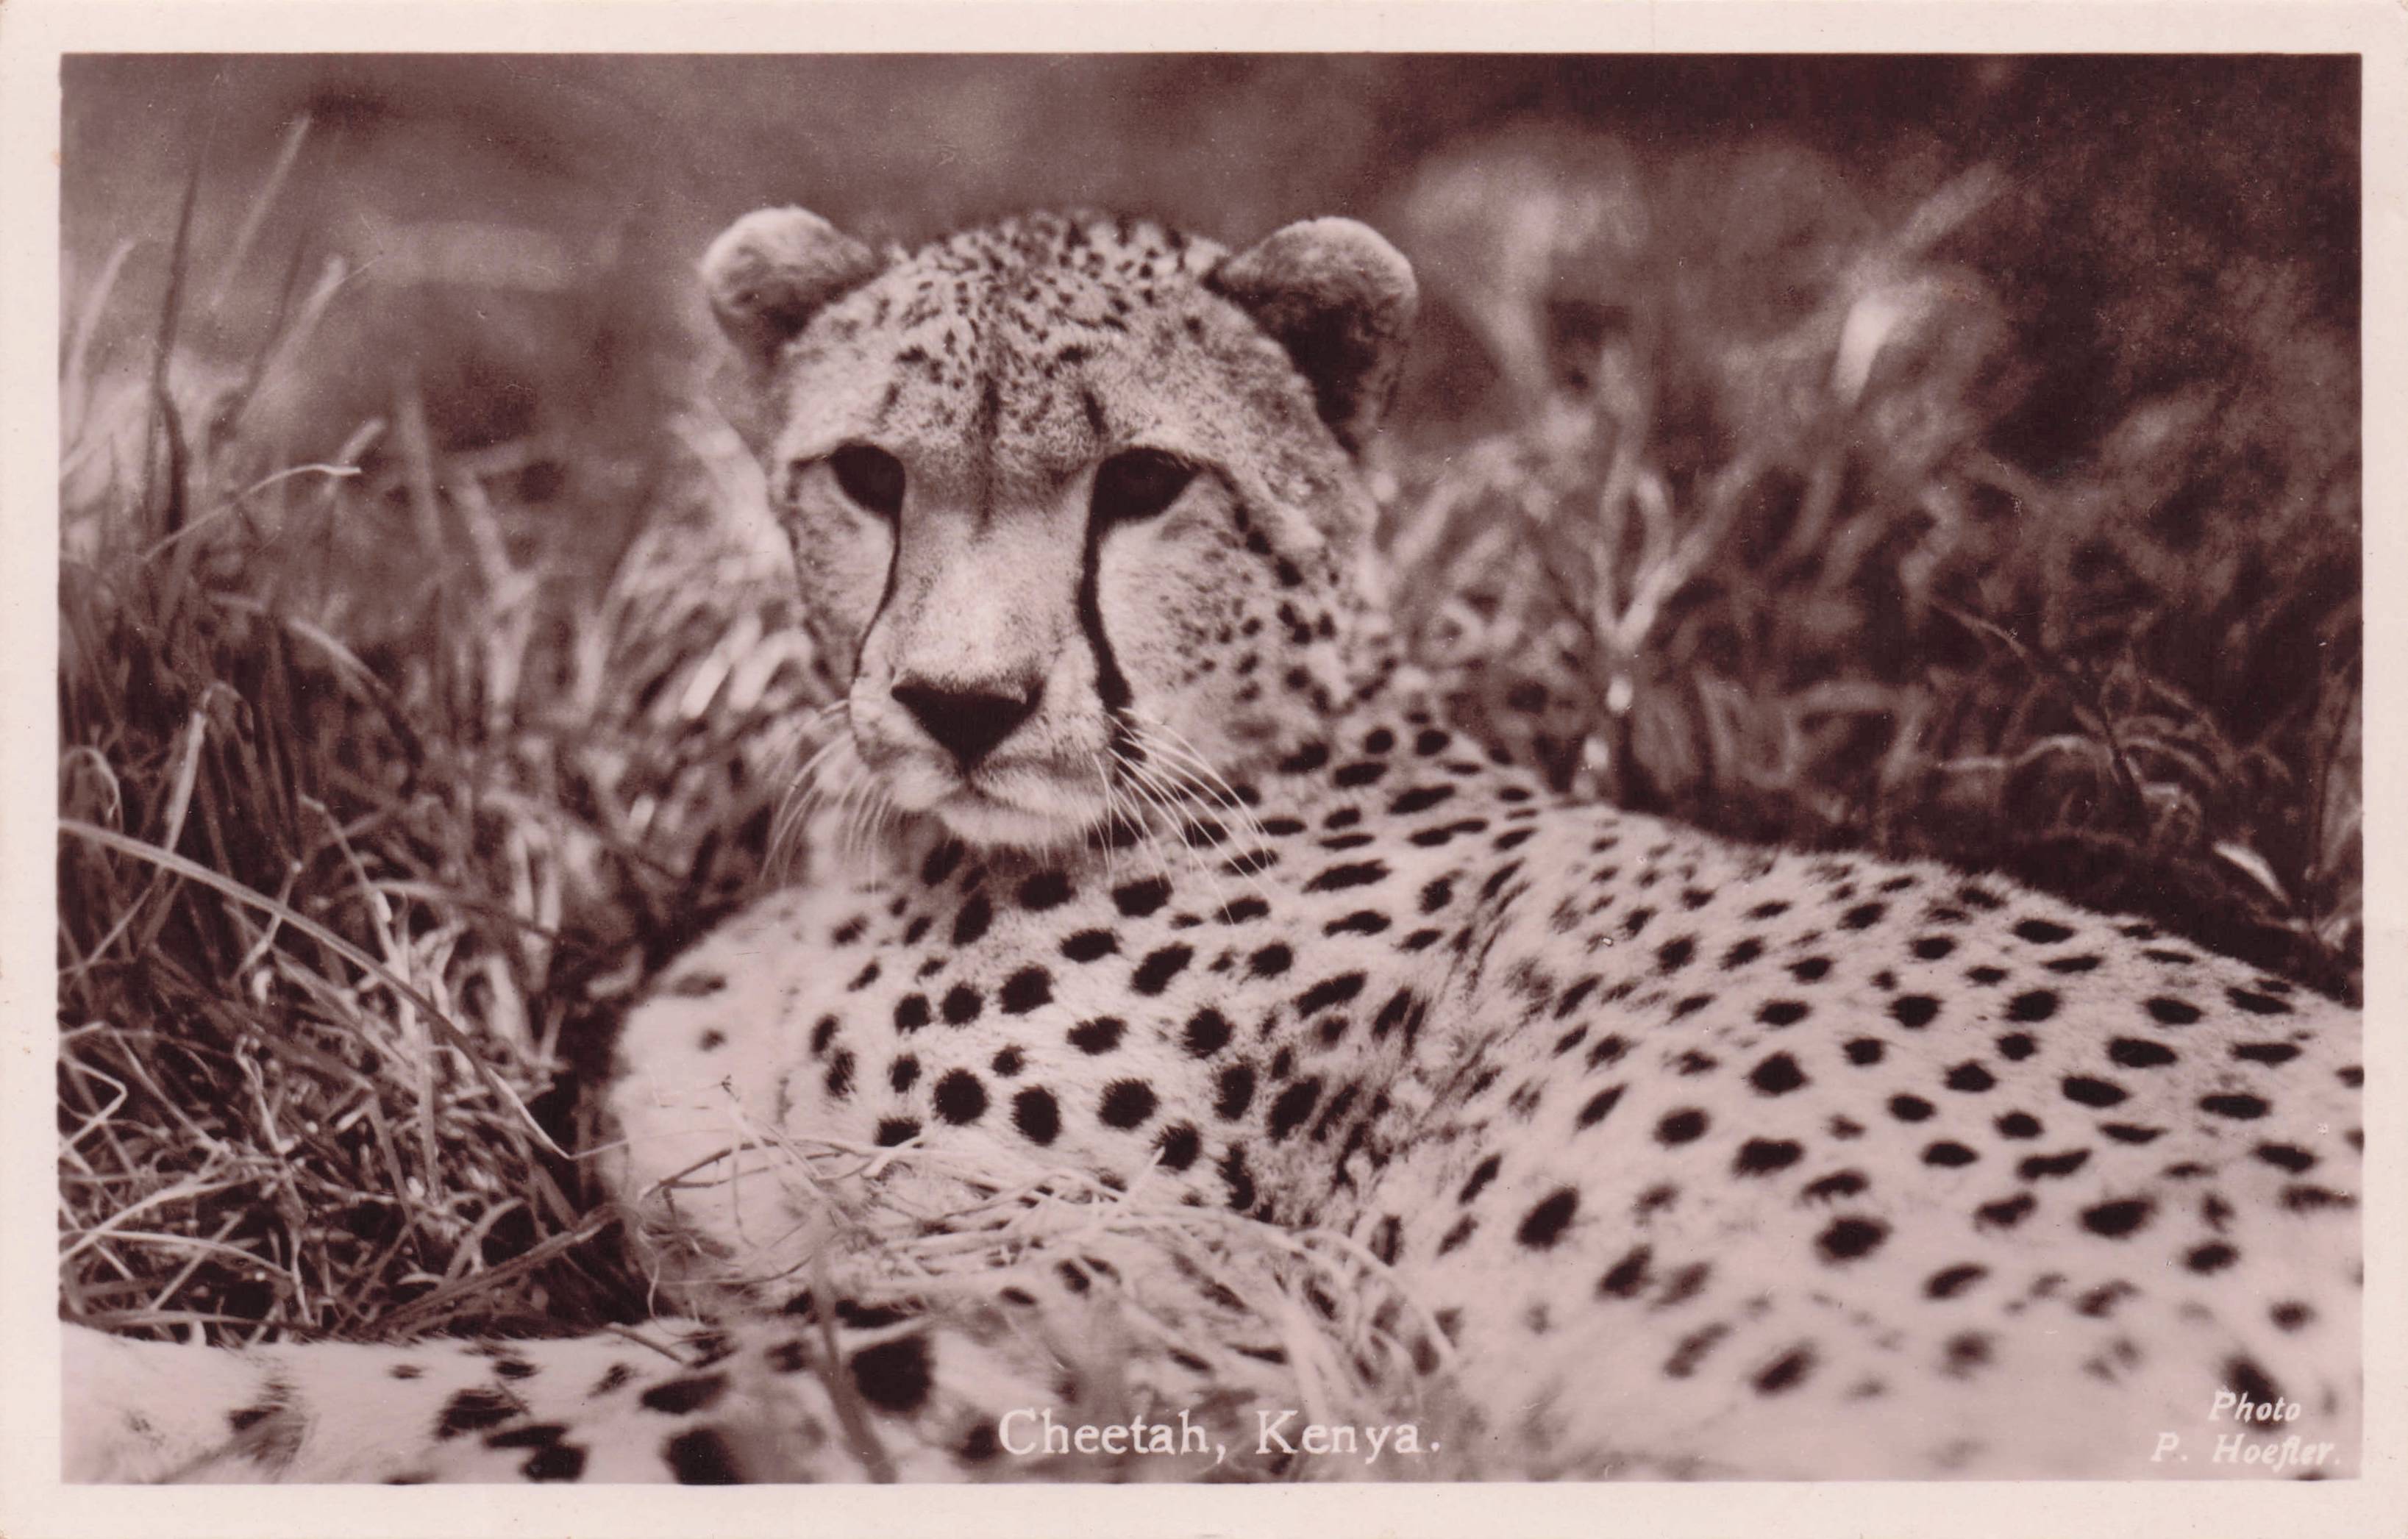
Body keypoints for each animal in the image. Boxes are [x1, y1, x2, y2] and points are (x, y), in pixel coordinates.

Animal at [63, 206, 2362, 1485]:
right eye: (868, 475)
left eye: (1144, 486)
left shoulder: (1228, 1322)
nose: (962, 704)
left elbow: (516, 1396)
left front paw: (128, 1410)